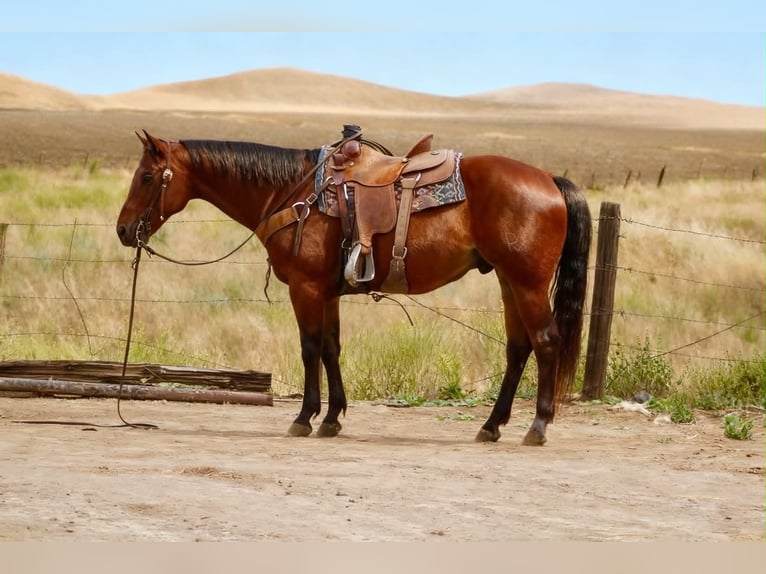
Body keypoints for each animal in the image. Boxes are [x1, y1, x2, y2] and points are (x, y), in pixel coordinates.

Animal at [116, 129, 591, 445]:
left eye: (146, 178)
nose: (123, 230)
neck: (293, 193)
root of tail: (549, 180)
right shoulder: (327, 293)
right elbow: (331, 347)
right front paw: (332, 418)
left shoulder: (306, 288)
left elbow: (310, 348)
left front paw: (305, 417)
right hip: (509, 282)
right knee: (518, 348)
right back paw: (491, 426)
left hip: (528, 284)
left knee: (546, 342)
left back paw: (538, 426)